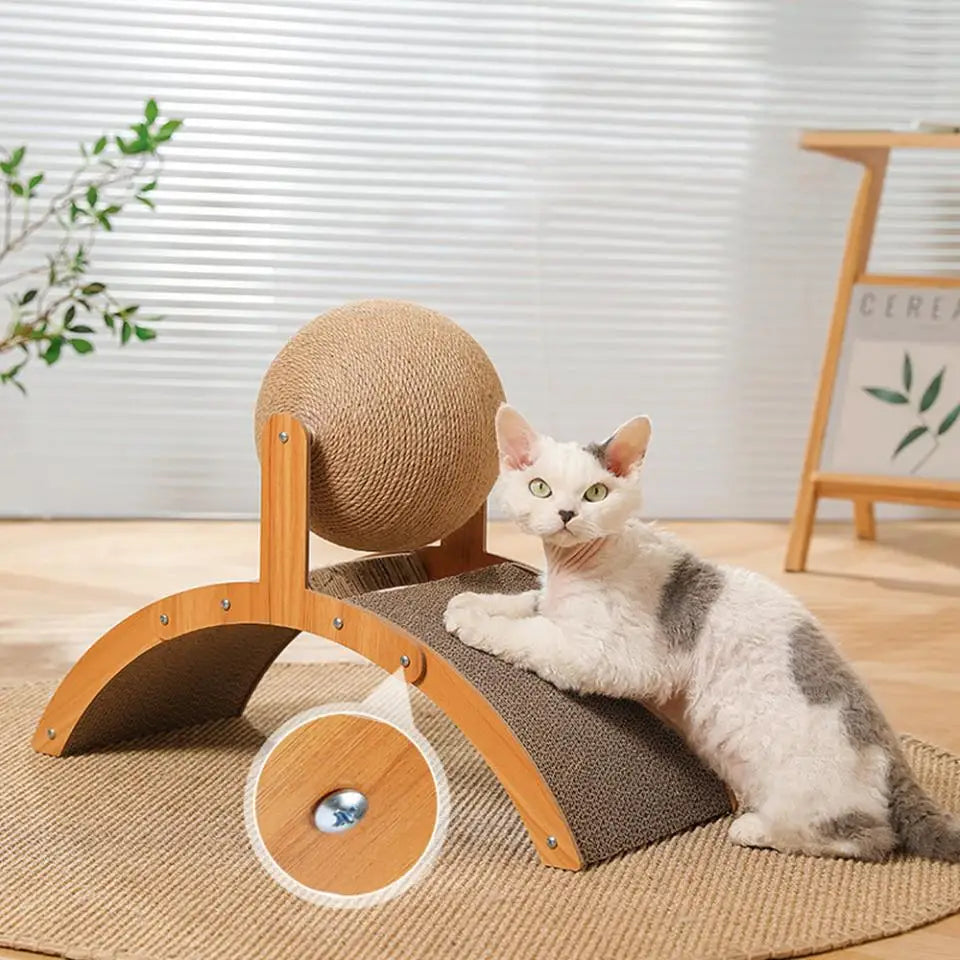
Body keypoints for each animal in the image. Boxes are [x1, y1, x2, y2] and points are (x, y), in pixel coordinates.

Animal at [444, 404, 960, 864]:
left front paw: (474, 623)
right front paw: (468, 602)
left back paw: (755, 829)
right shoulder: (554, 601)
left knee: (865, 838)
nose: (567, 513)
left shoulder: (610, 654)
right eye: (540, 487)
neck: (573, 567)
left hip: (809, 788)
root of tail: (892, 755)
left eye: (595, 492)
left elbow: (534, 636)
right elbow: (531, 604)